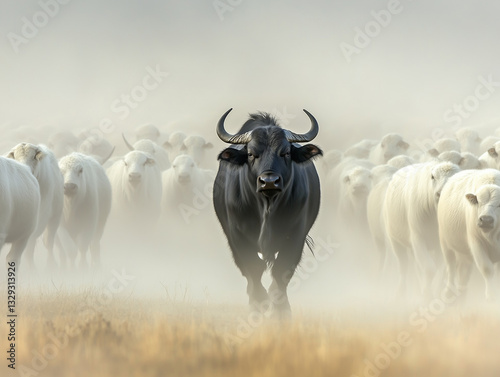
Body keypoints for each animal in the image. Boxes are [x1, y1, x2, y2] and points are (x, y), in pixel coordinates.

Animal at [212, 108, 322, 318]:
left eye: (285, 152)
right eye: (251, 153)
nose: (269, 181)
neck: (266, 208)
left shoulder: (296, 235)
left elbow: (282, 270)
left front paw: (281, 310)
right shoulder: (236, 236)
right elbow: (253, 267)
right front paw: (258, 303)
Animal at [382, 160, 460, 296]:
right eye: (433, 177)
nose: (440, 193)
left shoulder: (439, 244)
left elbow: (439, 270)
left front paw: (433, 291)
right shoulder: (417, 237)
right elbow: (429, 269)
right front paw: (426, 294)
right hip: (394, 239)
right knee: (403, 265)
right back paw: (401, 292)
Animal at [440, 169, 500, 302]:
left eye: (499, 205)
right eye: (478, 202)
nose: (486, 220)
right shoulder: (476, 242)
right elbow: (487, 269)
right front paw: (491, 296)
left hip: (464, 253)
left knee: (463, 269)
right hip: (445, 243)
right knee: (451, 265)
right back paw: (449, 291)